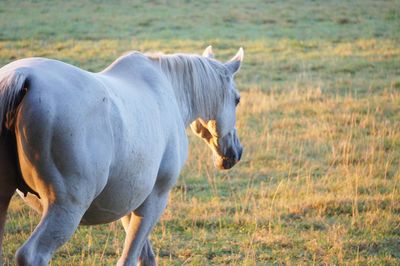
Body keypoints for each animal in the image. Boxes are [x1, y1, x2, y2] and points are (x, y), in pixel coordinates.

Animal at [0, 46, 244, 264]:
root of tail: (23, 77)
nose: (237, 152)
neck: (168, 91)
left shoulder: (128, 199)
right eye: (237, 99)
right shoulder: (155, 197)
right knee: (32, 254)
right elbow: (130, 256)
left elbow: (144, 256)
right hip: (67, 206)